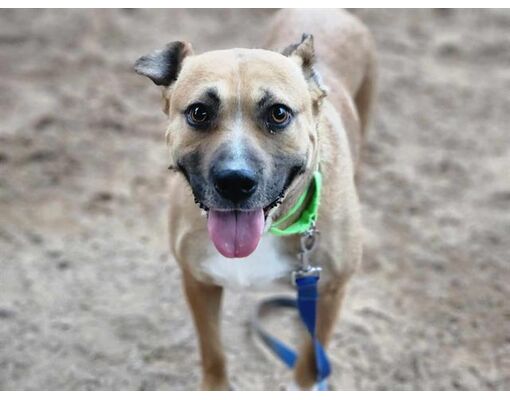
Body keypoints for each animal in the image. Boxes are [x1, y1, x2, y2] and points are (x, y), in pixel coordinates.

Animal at [133, 8, 376, 390]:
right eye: (199, 112)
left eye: (278, 113)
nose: (235, 181)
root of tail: (328, 9)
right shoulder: (197, 282)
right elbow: (213, 352)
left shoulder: (330, 291)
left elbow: (310, 362)